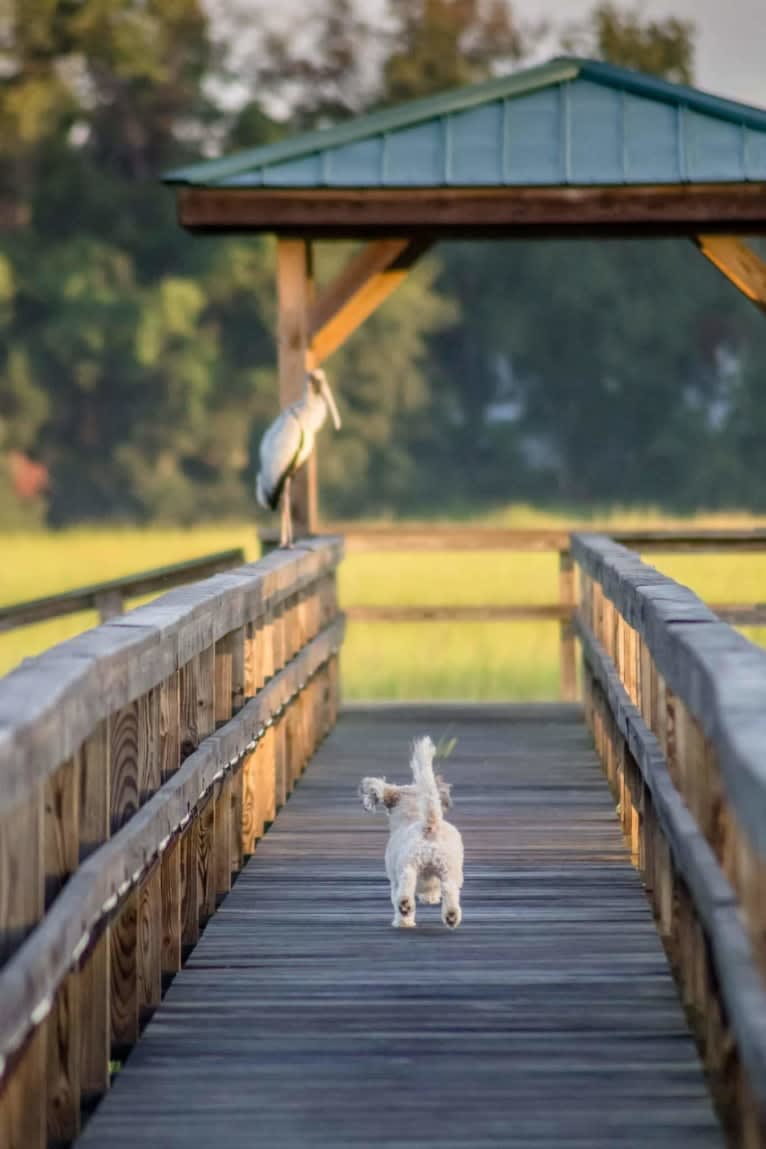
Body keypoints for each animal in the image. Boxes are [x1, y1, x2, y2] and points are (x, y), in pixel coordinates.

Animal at [358, 739, 463, 928]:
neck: (412, 814)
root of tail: (430, 825)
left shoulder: (394, 880)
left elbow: (395, 896)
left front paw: (404, 920)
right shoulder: (433, 881)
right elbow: (433, 891)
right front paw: (429, 899)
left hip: (408, 863)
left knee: (407, 882)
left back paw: (405, 909)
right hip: (449, 869)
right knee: (449, 889)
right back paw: (451, 915)